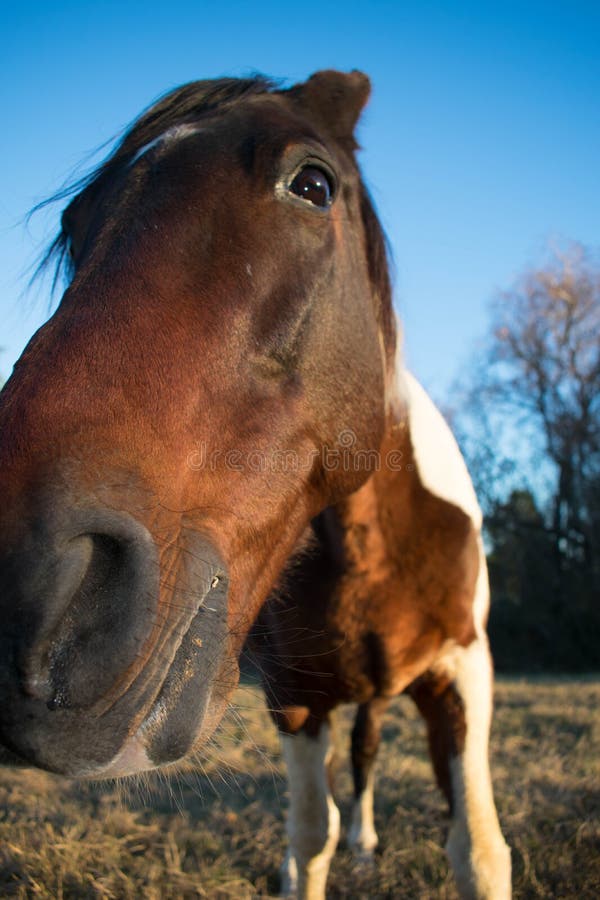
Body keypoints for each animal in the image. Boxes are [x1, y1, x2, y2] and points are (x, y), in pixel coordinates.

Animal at [0, 70, 510, 898]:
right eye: (77, 227)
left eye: (313, 184)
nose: (21, 588)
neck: (373, 551)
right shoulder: (295, 697)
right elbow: (309, 835)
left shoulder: (465, 672)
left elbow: (479, 850)